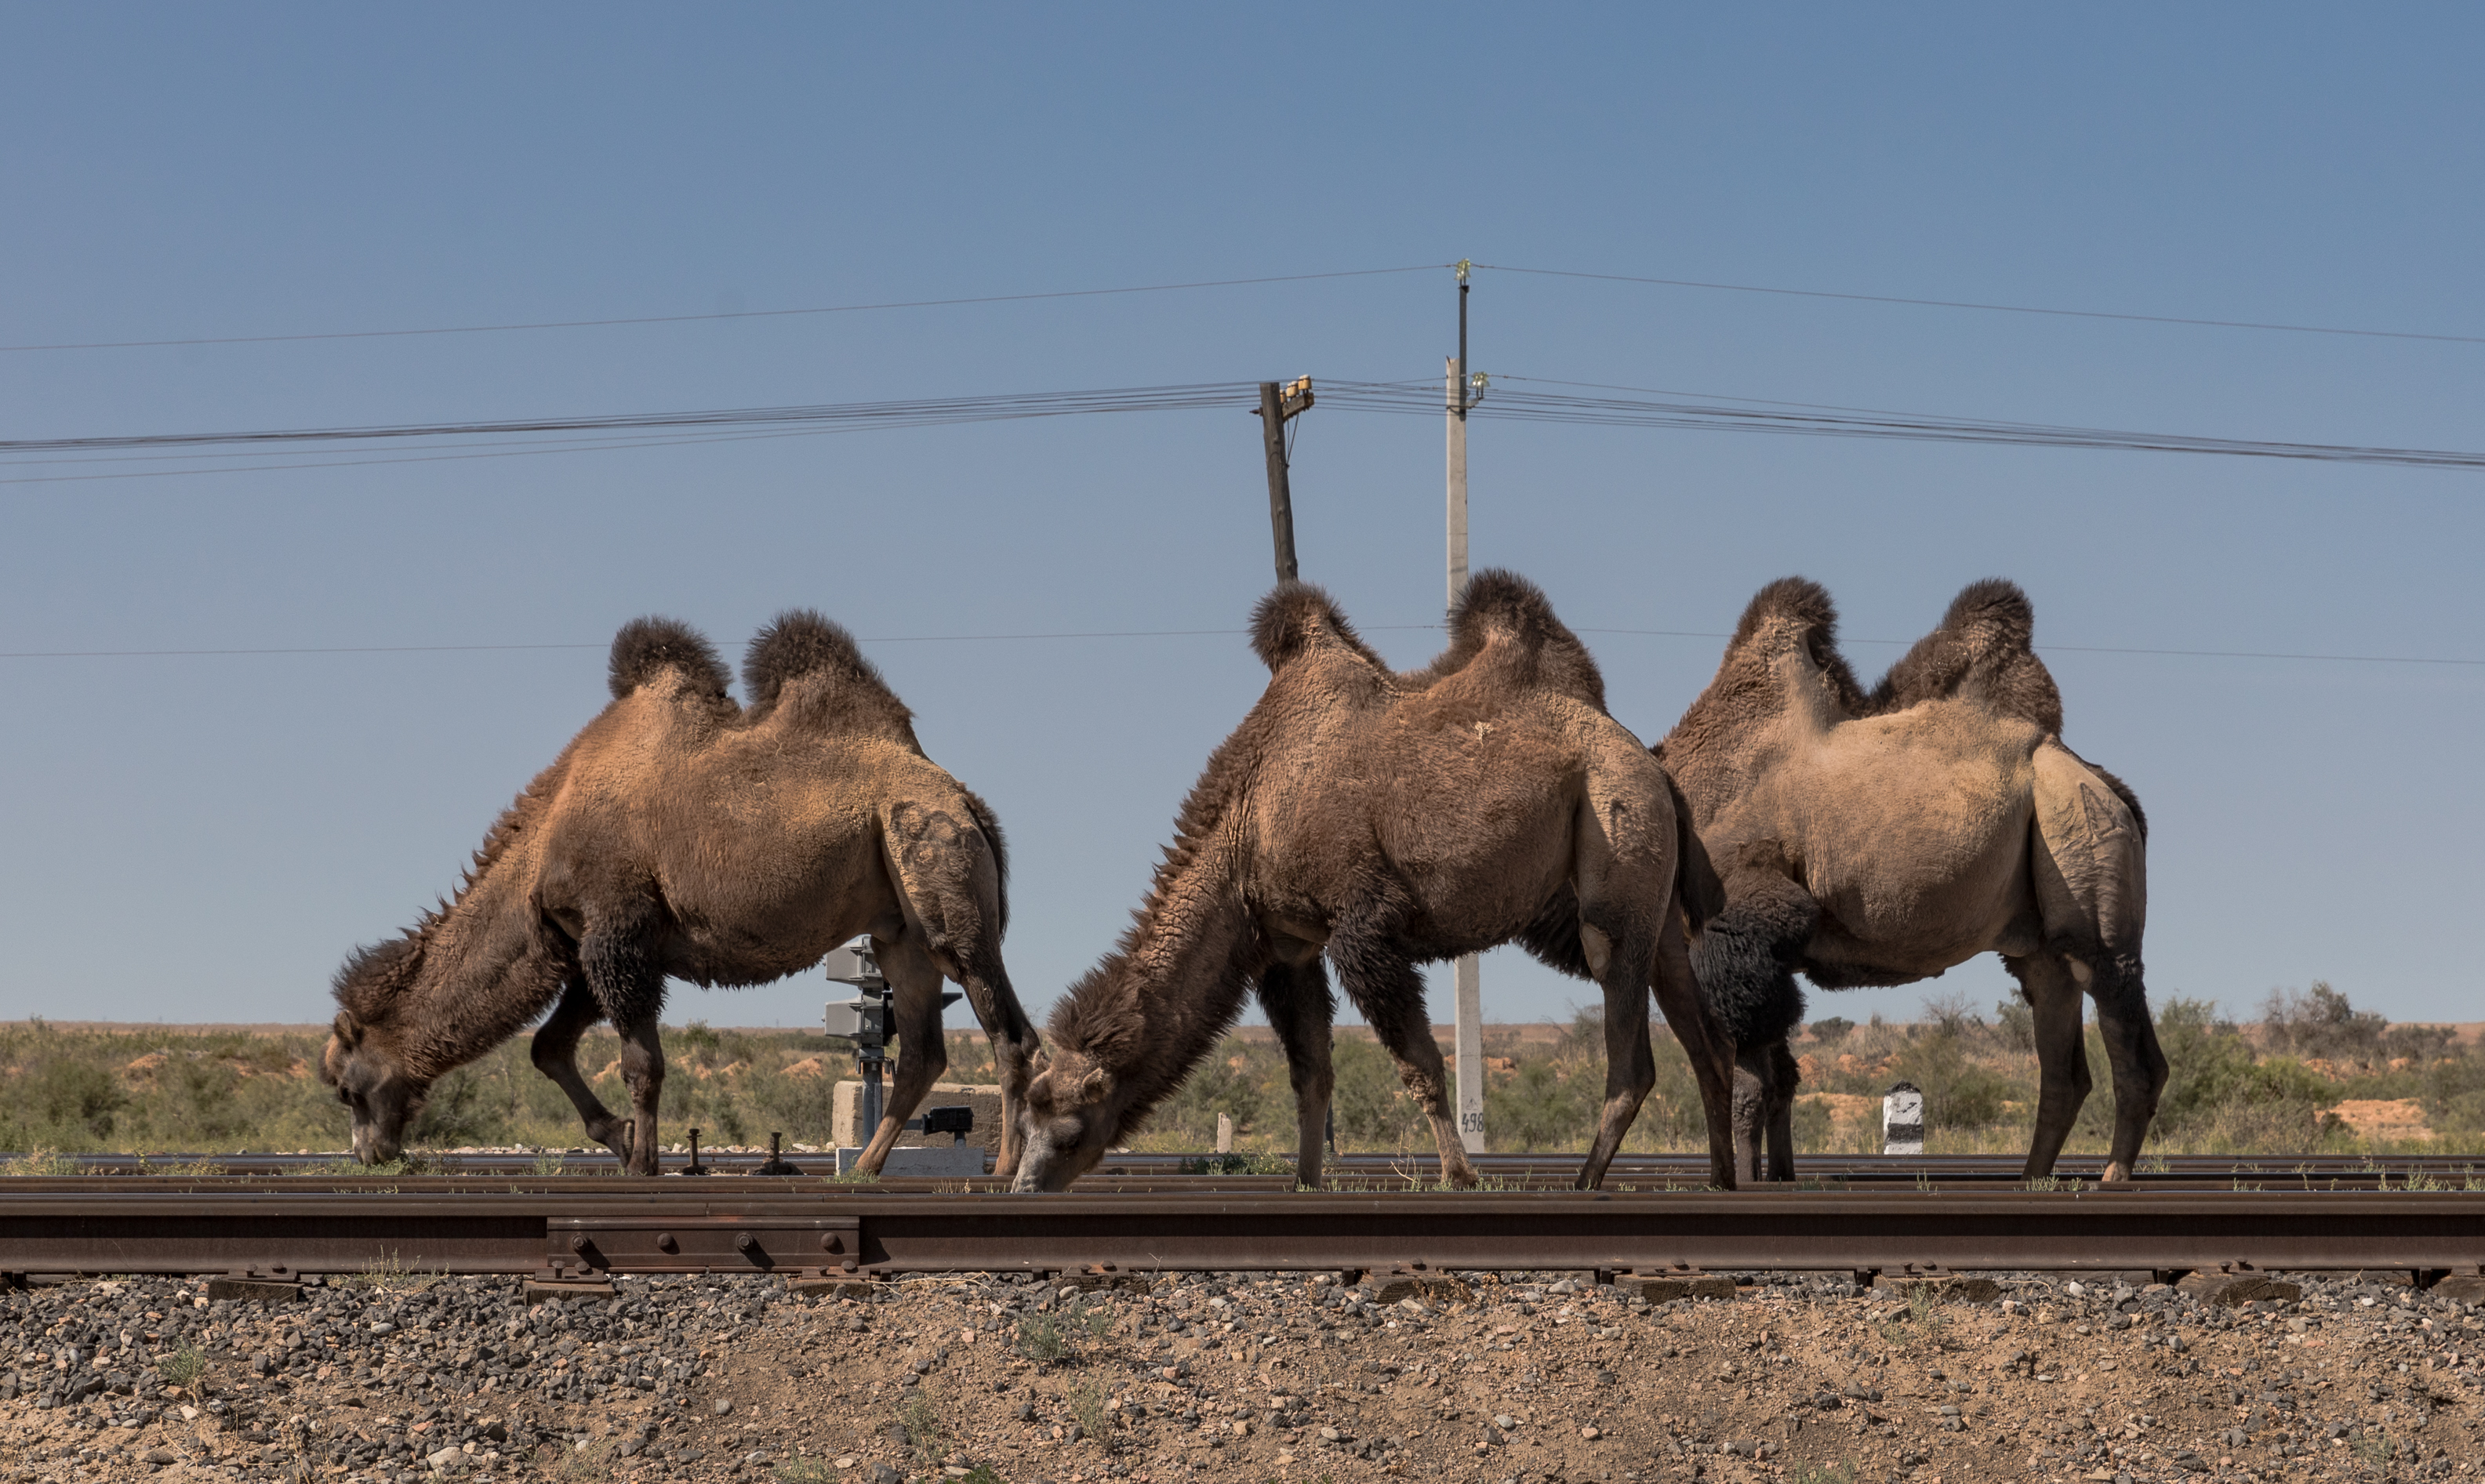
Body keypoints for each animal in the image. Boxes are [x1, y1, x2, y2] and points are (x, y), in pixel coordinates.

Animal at [320, 606, 1038, 1173]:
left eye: (346, 1086)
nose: (368, 1153)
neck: (539, 854)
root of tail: (966, 800)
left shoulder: (617, 929)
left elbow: (641, 1063)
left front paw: (643, 1161)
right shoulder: (599, 943)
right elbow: (549, 1047)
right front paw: (620, 1140)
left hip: (937, 868)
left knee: (1006, 1027)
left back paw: (1005, 1166)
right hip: (899, 930)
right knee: (922, 1049)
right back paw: (863, 1167)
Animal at [1004, 571, 1729, 1198]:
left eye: (1068, 1131)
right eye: (1028, 1118)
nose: (1024, 1185)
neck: (1248, 818)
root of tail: (1653, 765)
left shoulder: (1362, 922)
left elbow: (1419, 1062)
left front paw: (1458, 1174)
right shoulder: (1289, 942)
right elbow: (1310, 1072)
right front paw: (1305, 1180)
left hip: (1614, 825)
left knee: (1628, 1029)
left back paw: (1586, 1179)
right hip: (1653, 888)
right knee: (1699, 1028)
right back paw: (1722, 1176)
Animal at [1659, 576, 2167, 1177]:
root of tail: (2105, 783)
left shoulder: (1741, 922)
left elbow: (1747, 1085)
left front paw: (1744, 1179)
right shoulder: (1764, 952)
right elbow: (1777, 1077)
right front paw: (1778, 1176)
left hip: (2083, 834)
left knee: (2122, 1014)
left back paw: (2111, 1175)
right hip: (2041, 934)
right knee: (2061, 1045)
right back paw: (2030, 1178)